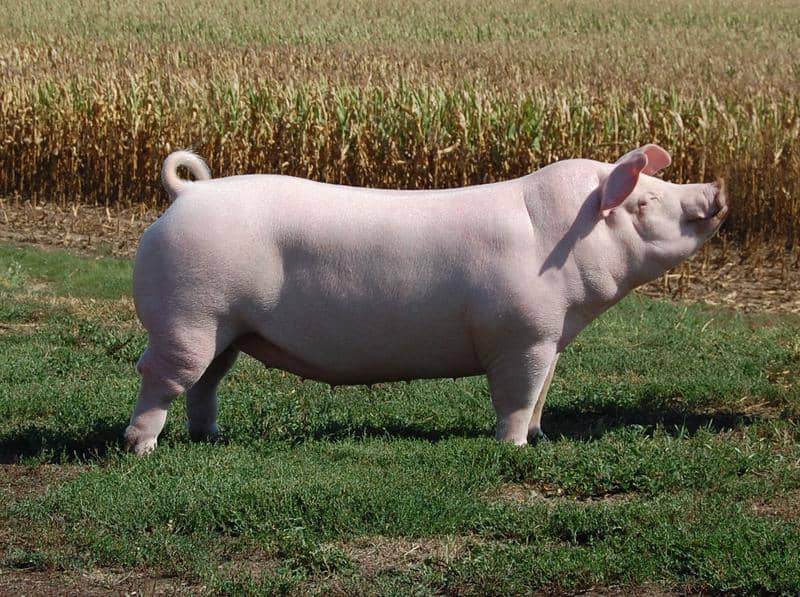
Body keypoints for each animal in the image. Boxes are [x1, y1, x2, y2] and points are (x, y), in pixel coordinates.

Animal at [124, 144, 728, 455]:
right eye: (645, 201)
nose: (716, 189)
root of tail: (189, 192)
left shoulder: (550, 336)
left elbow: (541, 394)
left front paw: (541, 436)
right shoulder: (522, 335)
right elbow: (517, 395)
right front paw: (514, 448)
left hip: (224, 327)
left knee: (206, 383)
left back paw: (210, 437)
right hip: (187, 313)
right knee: (160, 376)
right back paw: (142, 448)